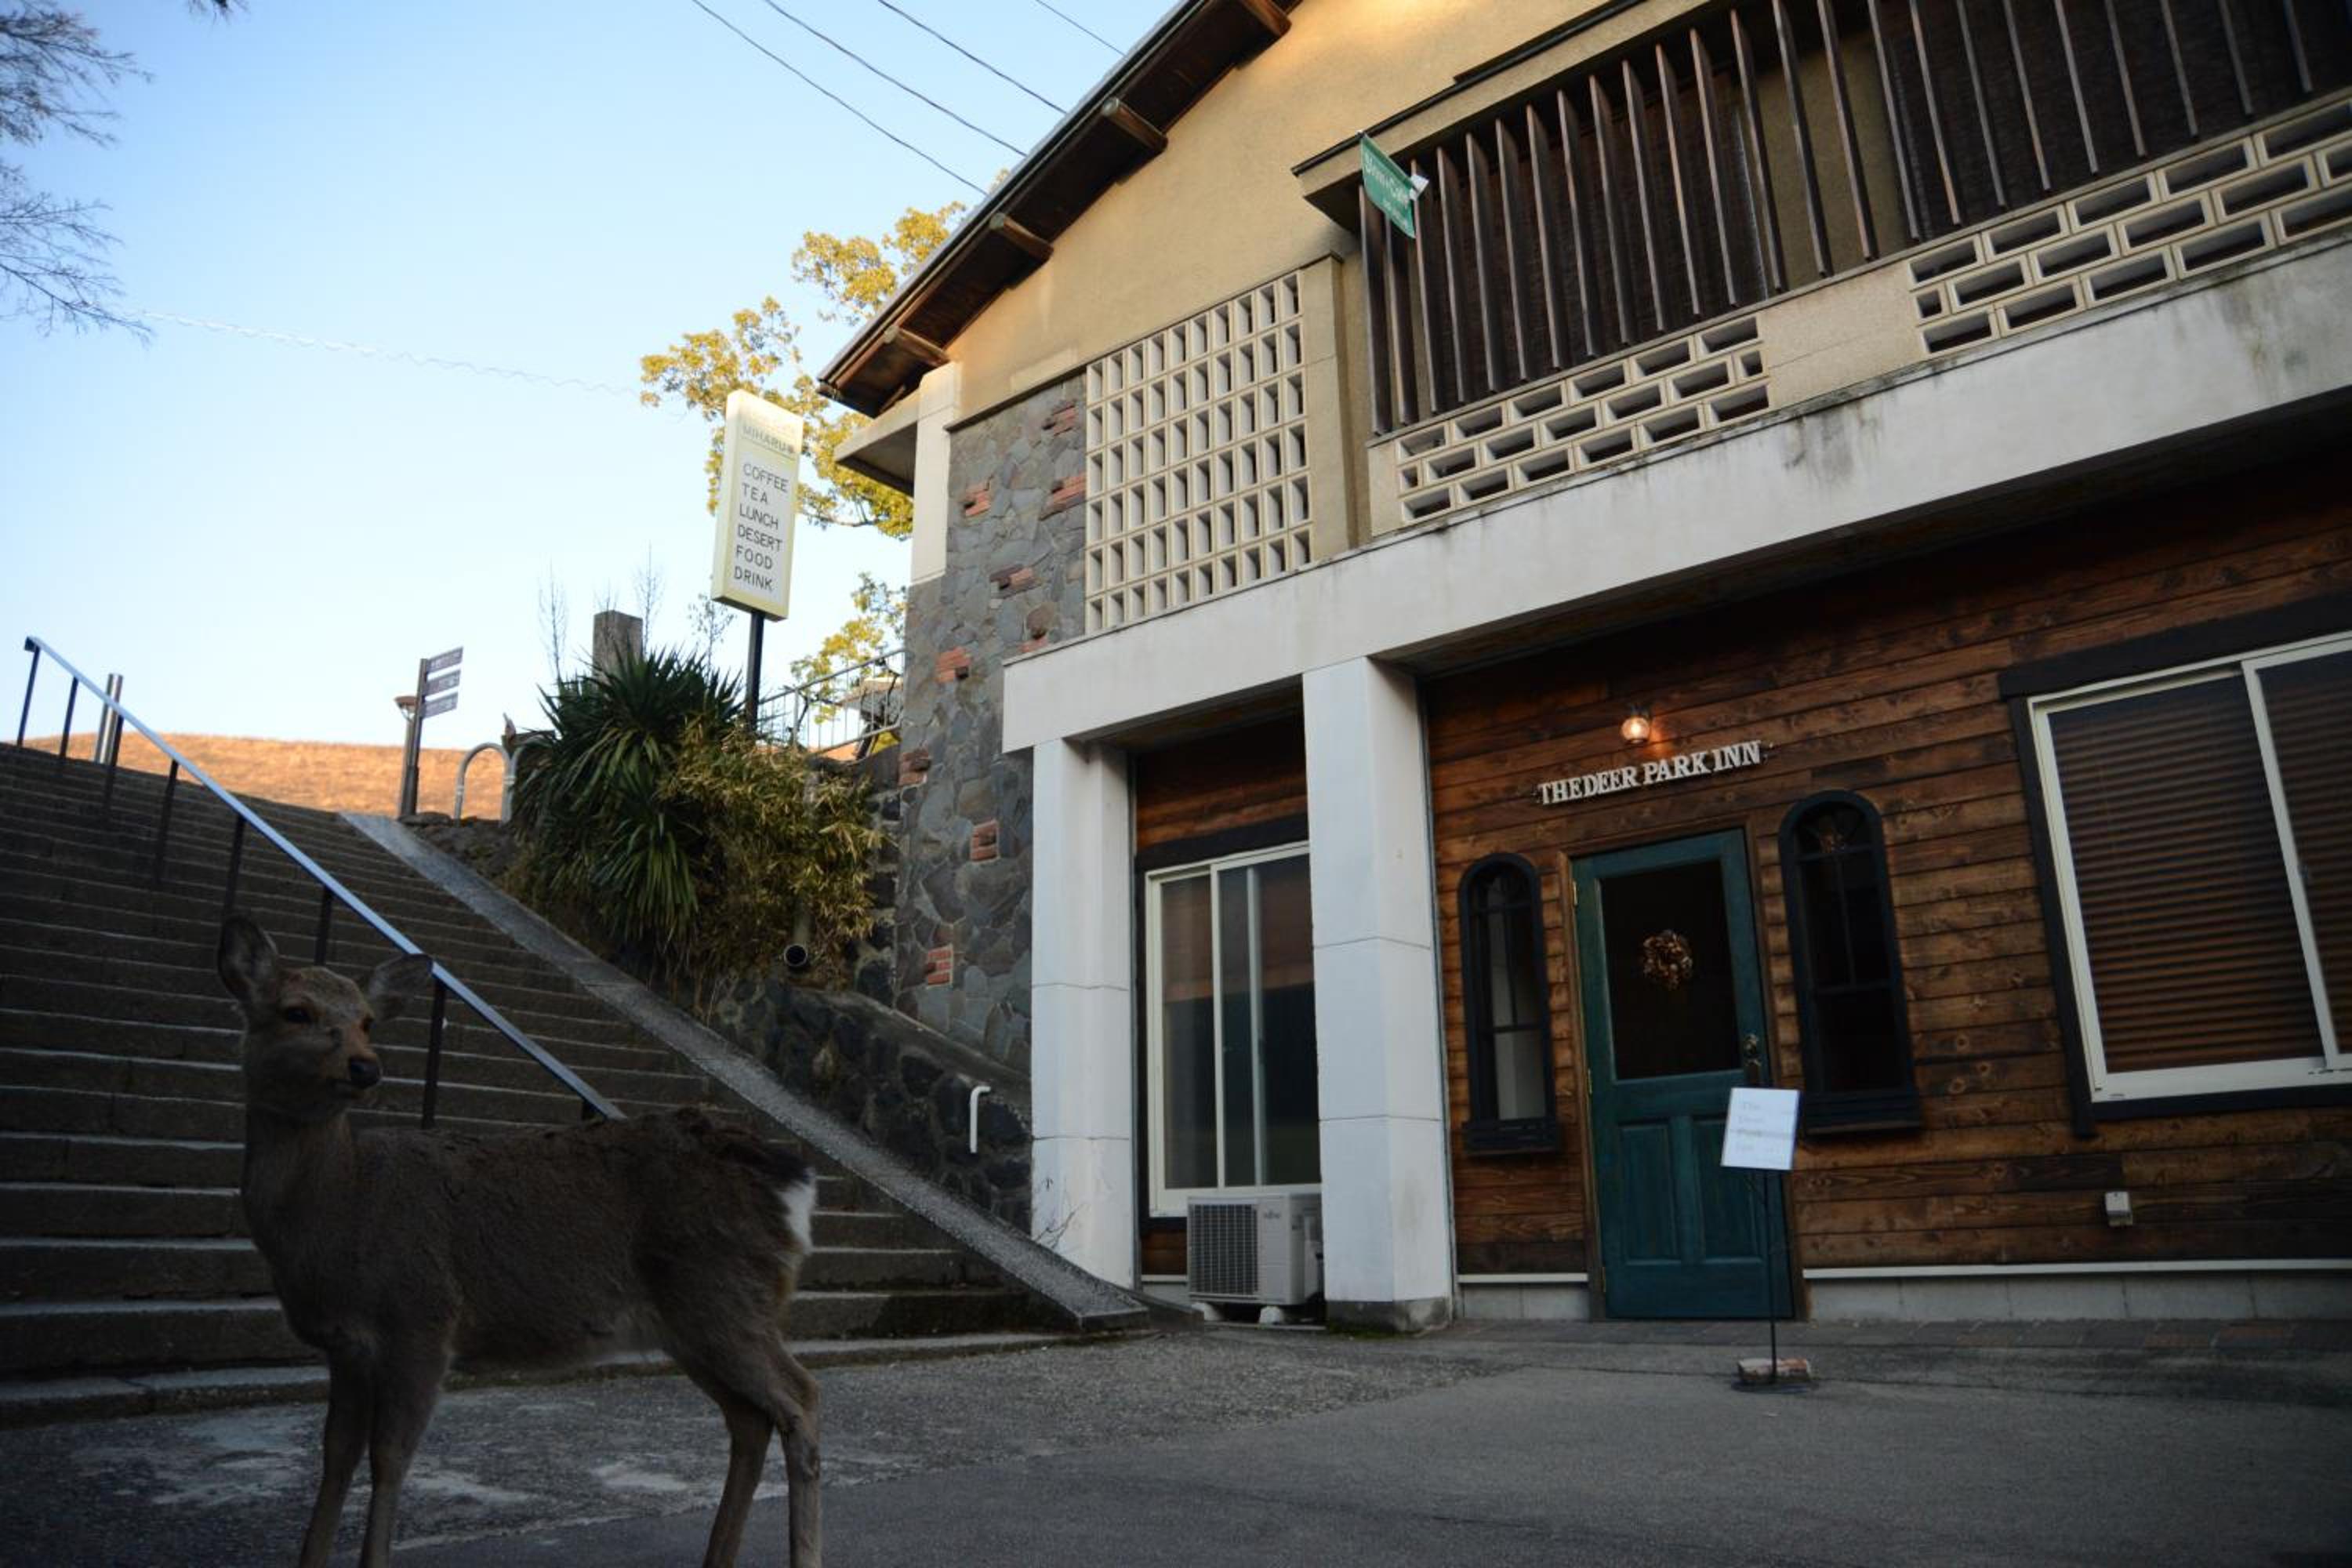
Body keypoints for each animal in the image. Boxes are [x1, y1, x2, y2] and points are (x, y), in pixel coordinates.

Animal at [215, 913, 822, 1567]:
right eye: (295, 1011)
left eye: (367, 1021)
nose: (364, 1066)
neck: (341, 1213)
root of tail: (792, 1181)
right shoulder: (345, 1347)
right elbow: (334, 1459)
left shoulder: (421, 1321)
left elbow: (390, 1459)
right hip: (690, 1322)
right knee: (749, 1420)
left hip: (724, 1295)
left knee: (801, 1396)